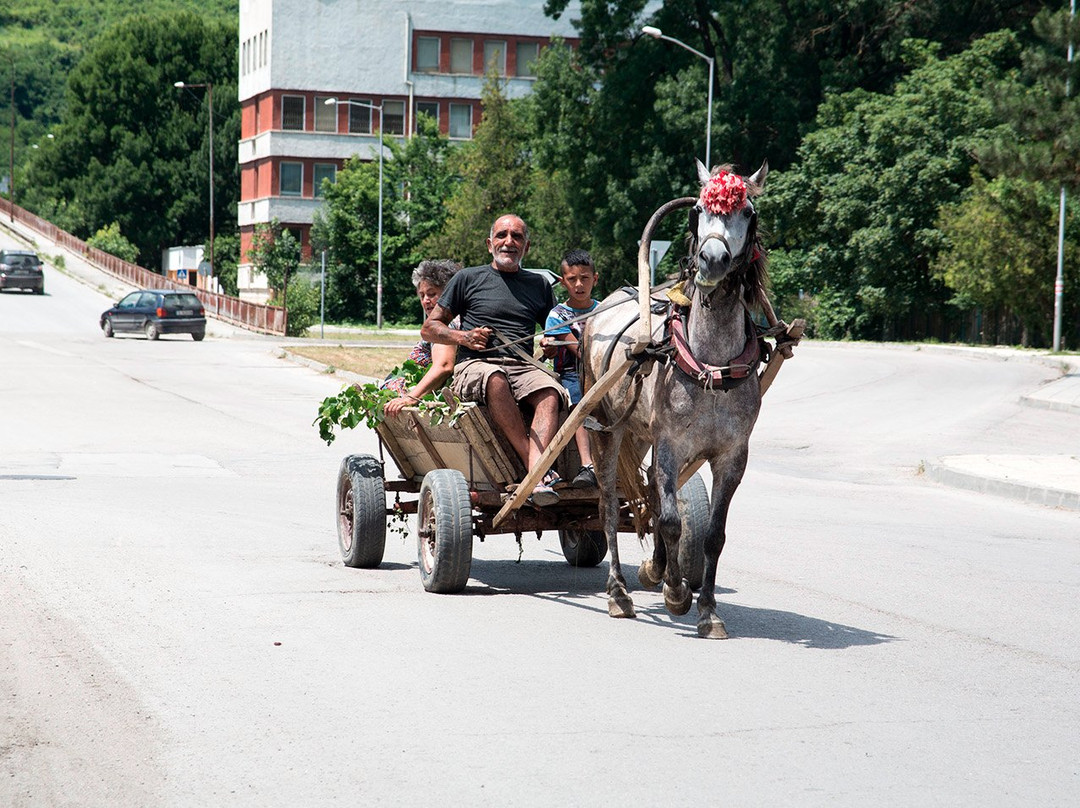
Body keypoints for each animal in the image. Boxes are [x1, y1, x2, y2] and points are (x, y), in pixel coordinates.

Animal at [583, 157, 768, 639]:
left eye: (747, 212)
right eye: (699, 210)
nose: (712, 259)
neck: (712, 364)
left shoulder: (732, 455)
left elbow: (712, 534)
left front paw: (708, 611)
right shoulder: (669, 443)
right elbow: (668, 519)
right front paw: (675, 592)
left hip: (639, 430)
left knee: (649, 491)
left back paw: (654, 569)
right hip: (607, 429)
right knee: (609, 505)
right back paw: (619, 593)